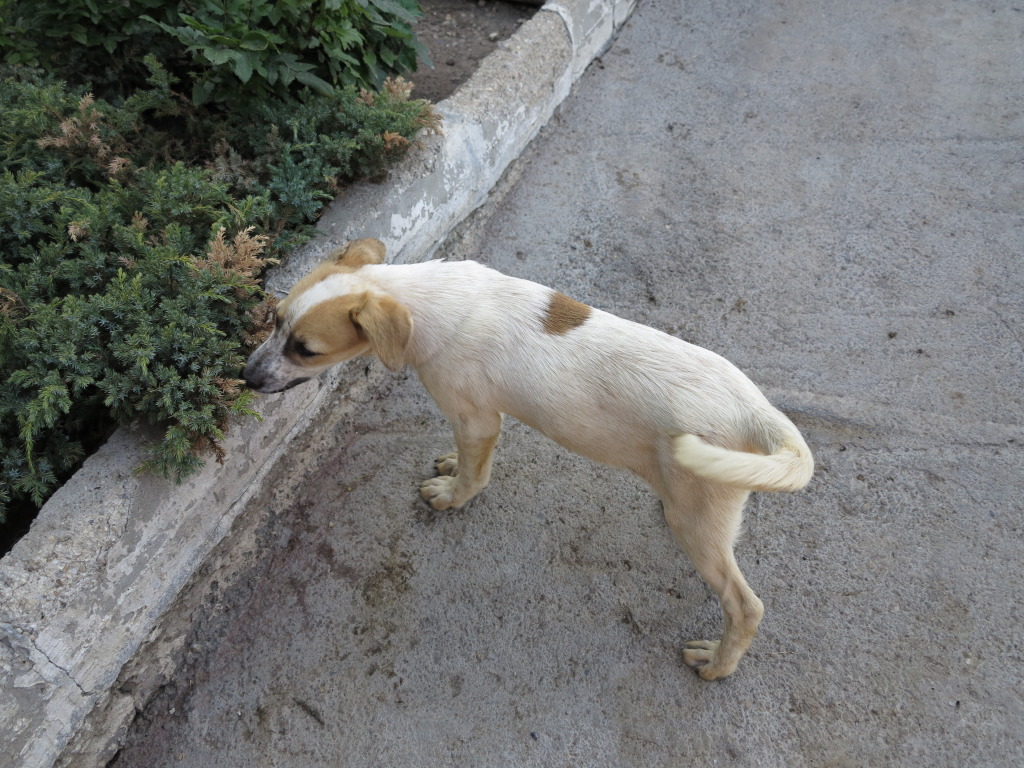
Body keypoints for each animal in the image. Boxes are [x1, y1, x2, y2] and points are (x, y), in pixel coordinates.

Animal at [243, 239, 811, 679]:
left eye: (306, 349)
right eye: (274, 321)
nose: (245, 378)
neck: (426, 301)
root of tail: (757, 410)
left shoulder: (477, 420)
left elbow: (475, 474)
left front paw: (453, 495)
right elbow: (461, 459)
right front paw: (449, 467)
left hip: (698, 526)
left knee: (746, 607)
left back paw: (717, 664)